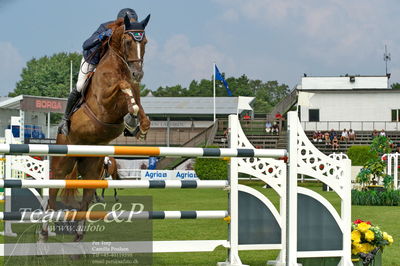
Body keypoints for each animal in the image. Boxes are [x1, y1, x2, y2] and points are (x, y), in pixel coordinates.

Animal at [39, 14, 152, 243]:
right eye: (128, 42)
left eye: (144, 42)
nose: (137, 73)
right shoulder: (105, 102)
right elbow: (123, 87)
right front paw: (132, 117)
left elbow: (137, 103)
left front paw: (138, 125)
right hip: (61, 164)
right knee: (52, 196)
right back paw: (44, 233)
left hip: (92, 167)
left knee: (85, 201)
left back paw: (78, 236)